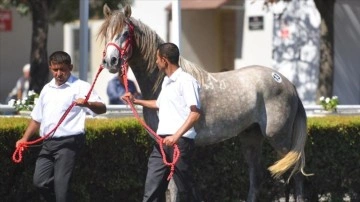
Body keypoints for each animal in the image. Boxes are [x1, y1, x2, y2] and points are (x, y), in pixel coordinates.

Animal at [97, 3, 310, 201]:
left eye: (125, 33)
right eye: (105, 32)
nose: (111, 61)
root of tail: (288, 83)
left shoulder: (173, 144)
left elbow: (173, 186)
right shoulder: (162, 144)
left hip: (279, 138)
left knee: (294, 172)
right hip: (251, 137)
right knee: (260, 176)